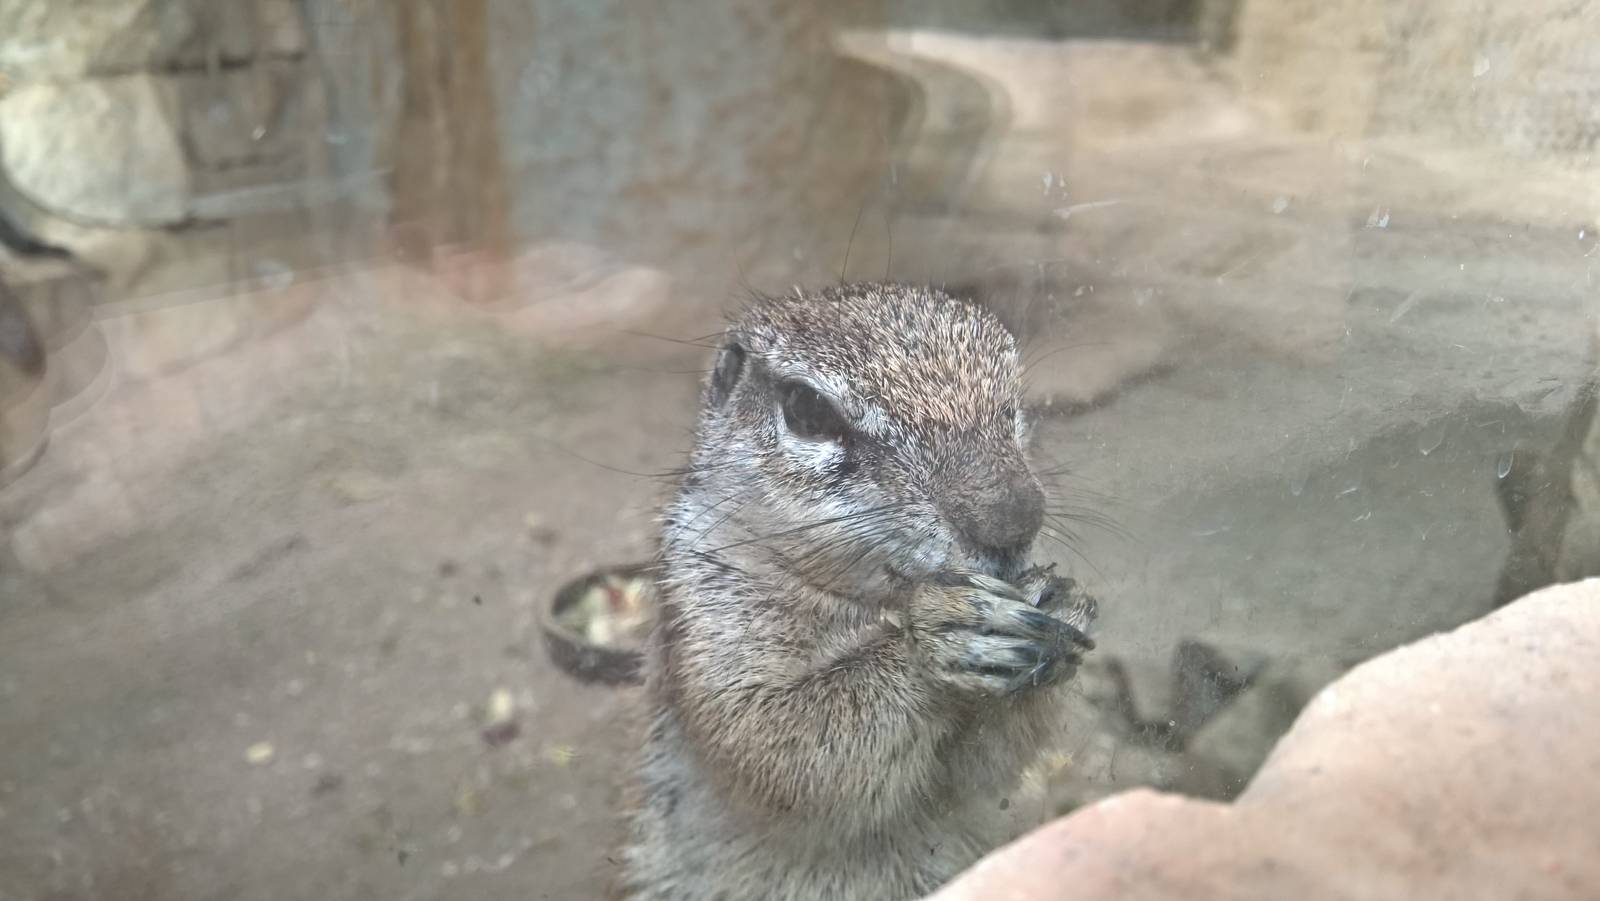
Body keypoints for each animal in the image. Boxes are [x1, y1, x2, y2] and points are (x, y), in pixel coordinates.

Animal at [617, 283, 1098, 900]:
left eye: (1013, 403)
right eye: (808, 411)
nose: (1013, 524)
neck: (875, 605)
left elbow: (985, 771)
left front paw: (1062, 602)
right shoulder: (704, 617)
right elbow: (776, 741)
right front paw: (938, 635)